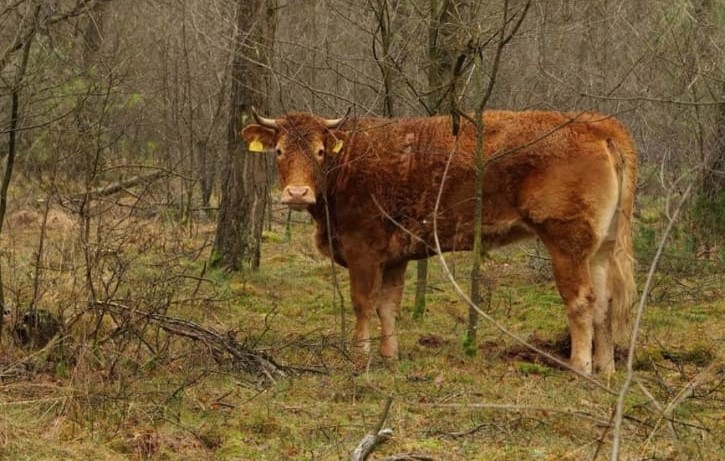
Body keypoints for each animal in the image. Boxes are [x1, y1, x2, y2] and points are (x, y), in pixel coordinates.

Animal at [242, 108, 637, 375]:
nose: (296, 193)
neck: (350, 160)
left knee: (581, 301)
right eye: (279, 151)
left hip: (567, 244)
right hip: (600, 249)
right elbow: (388, 306)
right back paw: (606, 368)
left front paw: (360, 356)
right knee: (605, 303)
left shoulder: (362, 249)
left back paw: (580, 367)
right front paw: (389, 355)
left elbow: (363, 303)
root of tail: (596, 124)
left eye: (320, 152)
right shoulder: (394, 256)